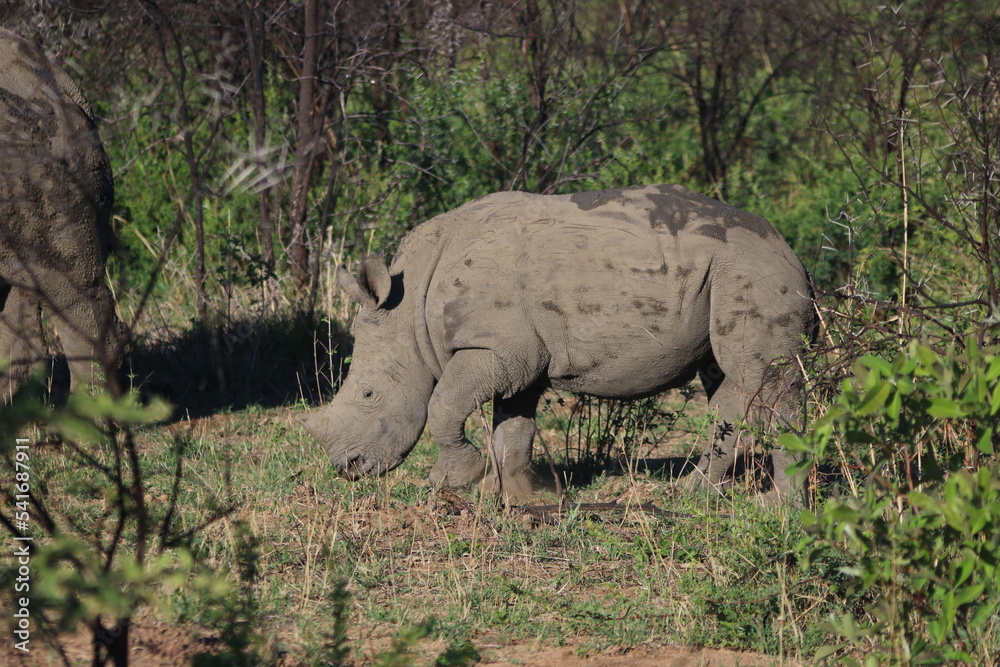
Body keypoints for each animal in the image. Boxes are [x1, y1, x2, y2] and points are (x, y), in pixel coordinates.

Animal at [300, 184, 816, 502]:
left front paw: (453, 481)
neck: (408, 310)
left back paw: (776, 507)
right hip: (729, 271)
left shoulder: (493, 349)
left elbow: (442, 405)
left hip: (752, 270)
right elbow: (514, 423)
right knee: (728, 380)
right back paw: (692, 495)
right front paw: (518, 496)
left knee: (766, 378)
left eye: (370, 395)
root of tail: (790, 250)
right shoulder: (516, 358)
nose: (347, 468)